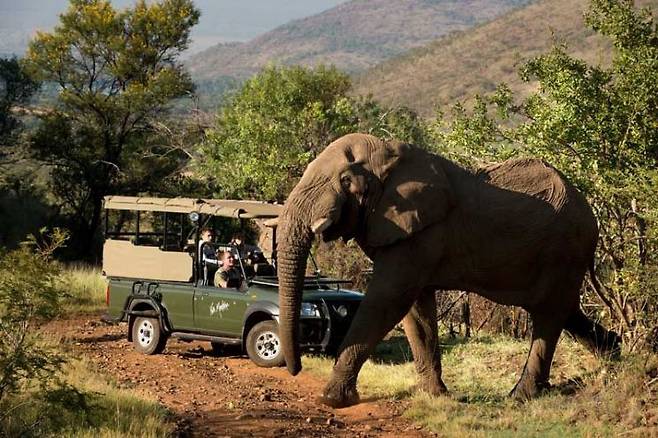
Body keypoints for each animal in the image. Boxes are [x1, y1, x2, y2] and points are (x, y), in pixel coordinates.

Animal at [274, 133, 616, 408]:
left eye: (346, 180)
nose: (295, 369)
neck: (390, 154)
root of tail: (592, 214)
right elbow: (416, 310)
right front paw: (435, 396)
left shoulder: (423, 231)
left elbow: (388, 299)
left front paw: (332, 400)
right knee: (566, 313)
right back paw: (616, 358)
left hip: (565, 251)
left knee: (548, 317)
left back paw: (521, 397)